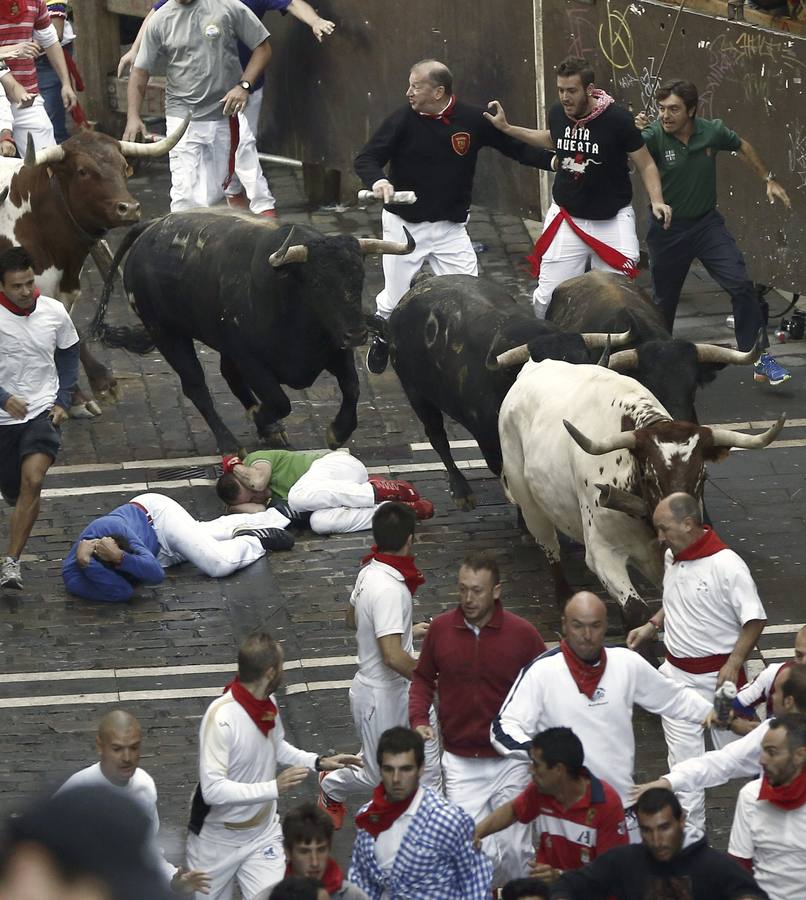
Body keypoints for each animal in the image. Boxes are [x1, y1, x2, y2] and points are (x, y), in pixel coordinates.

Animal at [91, 215, 414, 454]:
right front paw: (261, 417)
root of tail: (152, 226)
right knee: (196, 385)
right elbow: (279, 400)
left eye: (359, 277)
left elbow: (352, 387)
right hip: (166, 333)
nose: (357, 334)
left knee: (227, 375)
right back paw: (229, 443)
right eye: (318, 282)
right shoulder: (250, 358)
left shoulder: (335, 349)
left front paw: (337, 432)